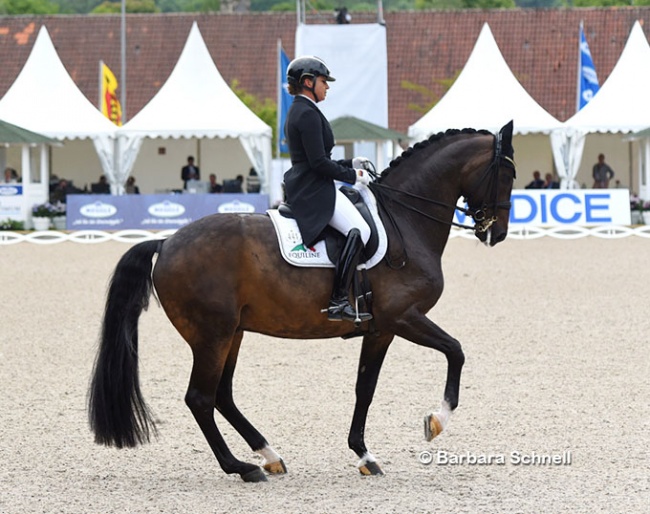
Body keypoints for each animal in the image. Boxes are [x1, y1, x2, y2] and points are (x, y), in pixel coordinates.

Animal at [88, 120, 516, 480]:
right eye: (509, 175)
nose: (497, 234)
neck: (404, 221)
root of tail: (166, 242)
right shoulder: (402, 318)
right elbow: (455, 351)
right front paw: (435, 421)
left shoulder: (380, 329)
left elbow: (365, 387)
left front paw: (364, 455)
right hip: (212, 335)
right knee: (200, 398)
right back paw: (242, 467)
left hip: (232, 333)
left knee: (222, 396)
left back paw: (269, 455)